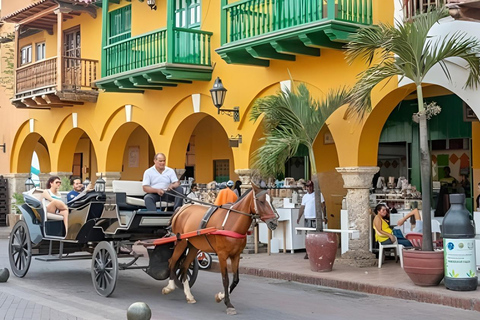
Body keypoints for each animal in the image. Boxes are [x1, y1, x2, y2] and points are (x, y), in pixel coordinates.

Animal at [162, 185, 278, 316]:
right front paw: (228, 304)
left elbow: (236, 280)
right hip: (181, 242)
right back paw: (169, 287)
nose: (274, 222)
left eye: (271, 200)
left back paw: (189, 295)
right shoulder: (222, 255)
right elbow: (225, 279)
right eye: (261, 201)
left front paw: (220, 296)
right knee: (172, 262)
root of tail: (182, 208)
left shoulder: (236, 255)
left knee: (183, 267)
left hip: (193, 246)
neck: (232, 223)